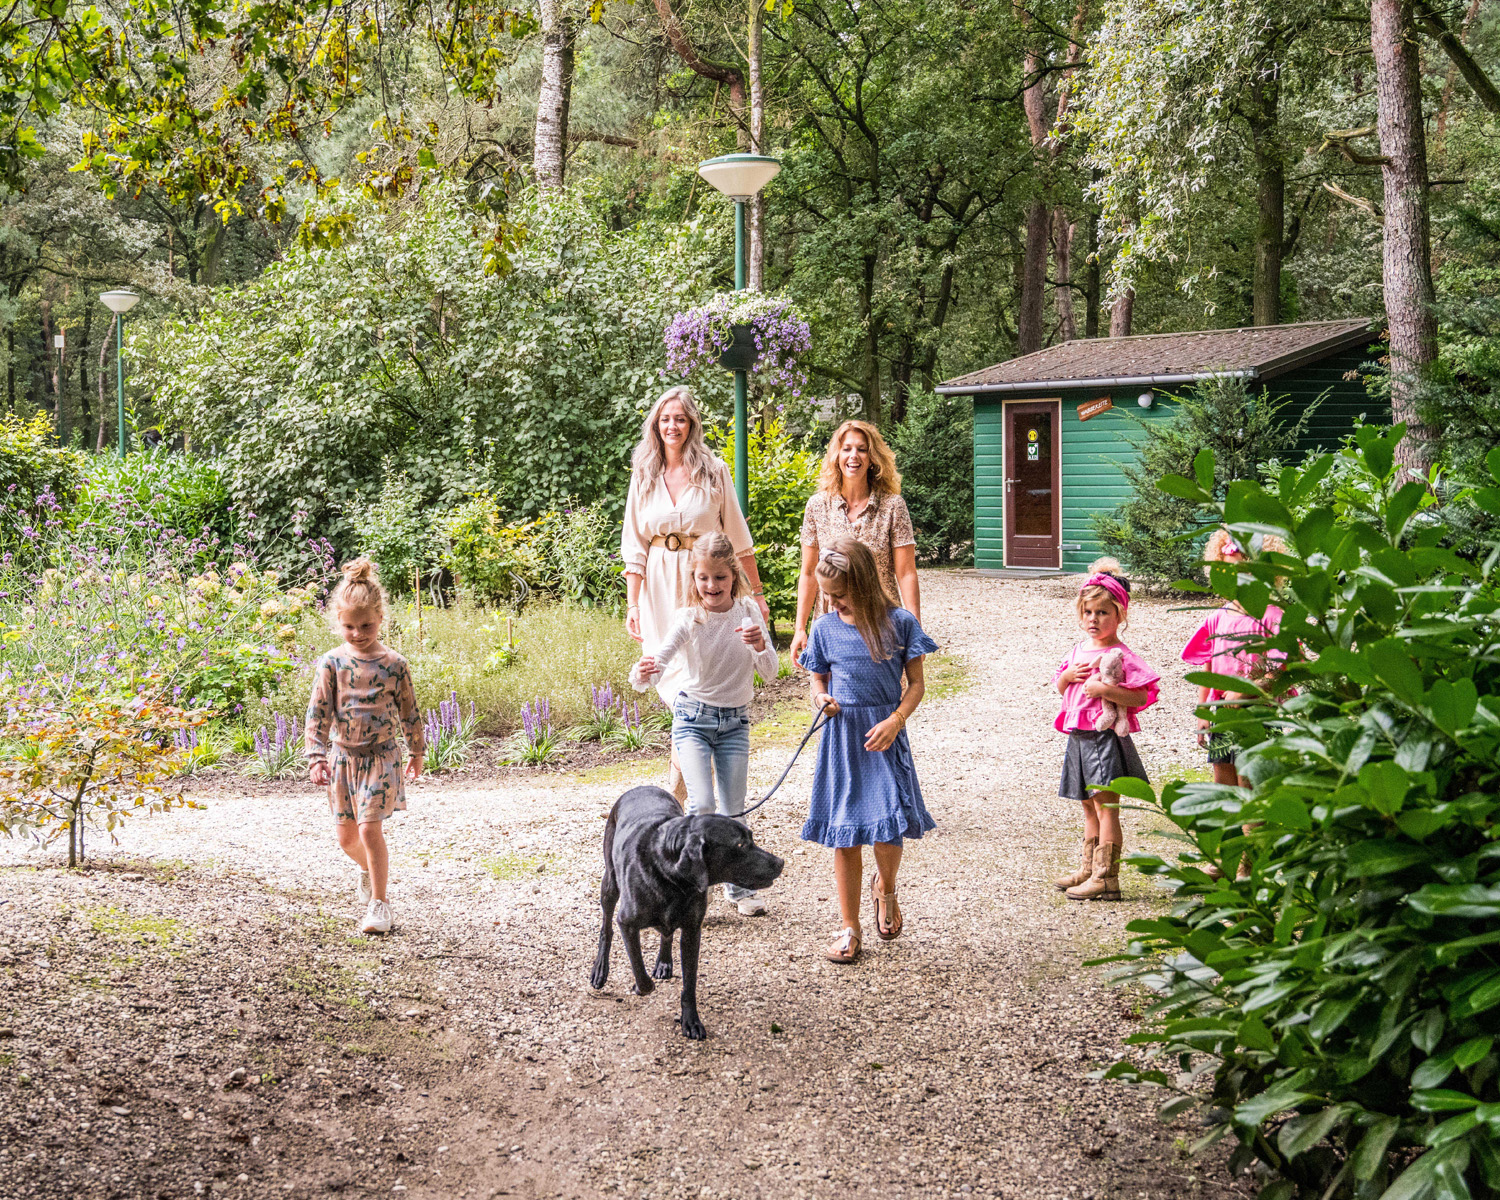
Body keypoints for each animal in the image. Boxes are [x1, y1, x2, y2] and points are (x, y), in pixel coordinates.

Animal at [591, 780, 786, 1038]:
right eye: (740, 844)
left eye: (751, 838)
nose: (780, 863)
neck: (672, 879)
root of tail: (642, 786)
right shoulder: (627, 923)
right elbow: (640, 971)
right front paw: (640, 987)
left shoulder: (692, 931)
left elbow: (690, 983)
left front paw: (691, 1020)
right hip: (610, 883)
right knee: (606, 929)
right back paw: (600, 970)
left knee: (666, 934)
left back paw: (664, 963)